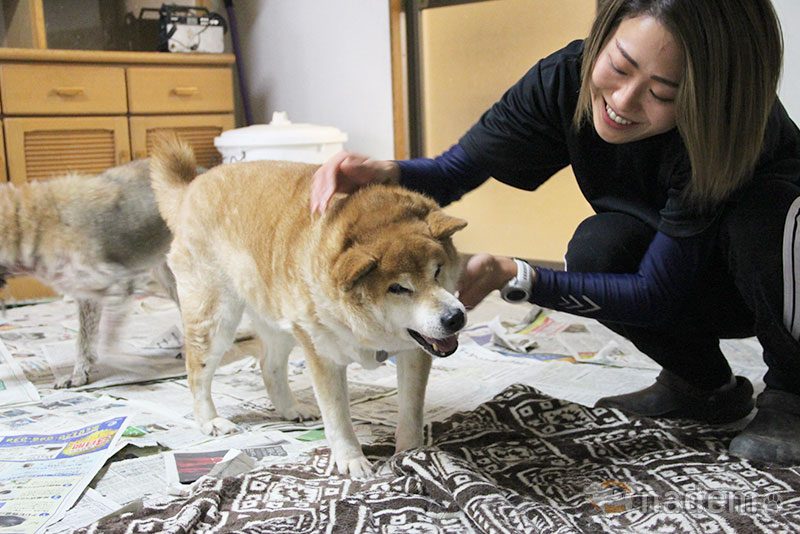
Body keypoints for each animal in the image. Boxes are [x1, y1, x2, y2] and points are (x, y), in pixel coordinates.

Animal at [0, 159, 177, 390]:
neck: (27, 223)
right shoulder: (87, 296)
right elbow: (84, 341)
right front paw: (79, 374)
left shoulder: (117, 285)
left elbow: (107, 342)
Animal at [150, 136, 468, 480]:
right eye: (398, 288)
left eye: (438, 270)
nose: (455, 318)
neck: (367, 330)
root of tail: (192, 187)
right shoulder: (323, 356)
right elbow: (338, 417)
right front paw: (352, 460)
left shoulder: (413, 354)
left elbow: (410, 411)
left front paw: (411, 453)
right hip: (217, 320)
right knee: (196, 373)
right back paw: (210, 420)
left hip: (279, 322)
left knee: (269, 366)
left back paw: (291, 409)